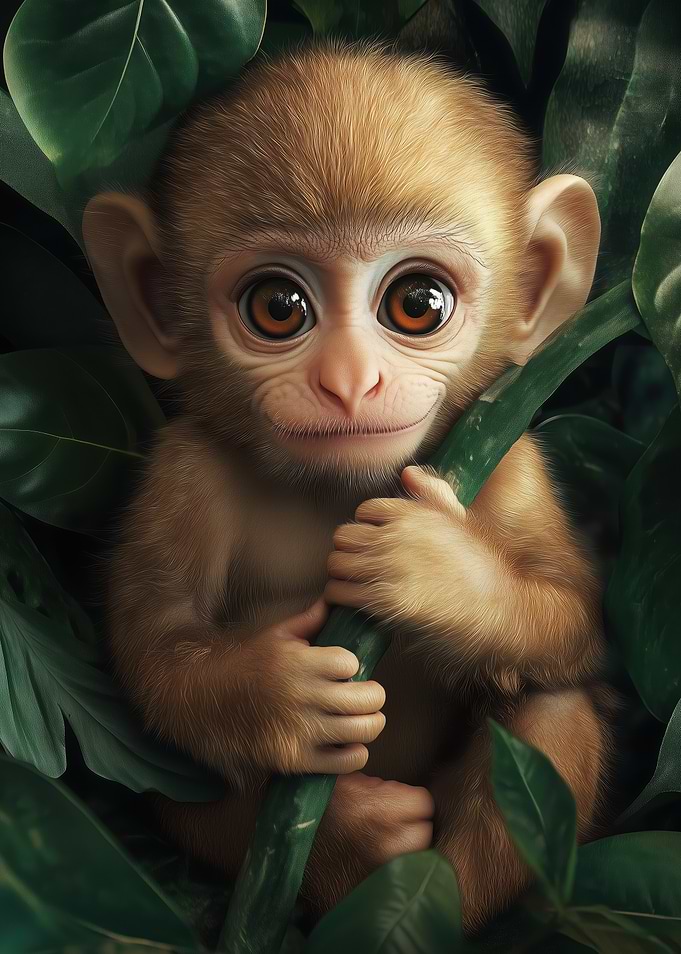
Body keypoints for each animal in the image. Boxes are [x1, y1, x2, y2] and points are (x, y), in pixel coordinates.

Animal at [82, 39, 609, 932]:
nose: (349, 382)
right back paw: (355, 837)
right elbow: (154, 646)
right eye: (277, 306)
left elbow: (574, 622)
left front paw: (434, 575)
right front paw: (280, 696)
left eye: (417, 302)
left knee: (550, 707)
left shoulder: (510, 463)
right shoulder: (184, 469)